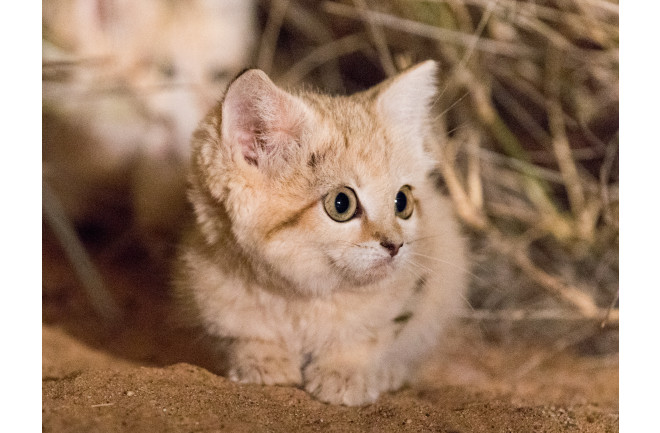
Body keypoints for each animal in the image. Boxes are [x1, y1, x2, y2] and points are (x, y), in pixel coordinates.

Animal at [173, 60, 466, 404]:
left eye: (402, 201)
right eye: (341, 204)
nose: (396, 245)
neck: (300, 299)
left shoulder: (412, 293)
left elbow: (367, 337)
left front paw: (345, 373)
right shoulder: (211, 292)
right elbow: (246, 335)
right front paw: (262, 362)